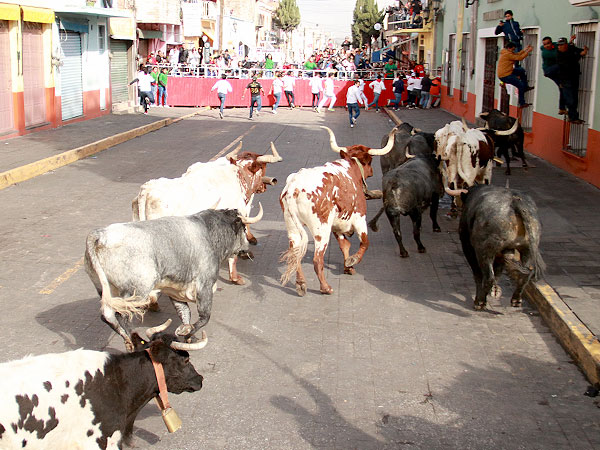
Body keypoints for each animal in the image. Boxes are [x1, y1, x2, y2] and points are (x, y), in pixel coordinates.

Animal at [84, 206, 260, 350]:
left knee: (107, 315)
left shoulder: (174, 291)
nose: (247, 249)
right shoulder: (205, 285)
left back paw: (128, 341)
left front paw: (189, 336)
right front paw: (188, 332)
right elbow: (205, 316)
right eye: (243, 228)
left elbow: (185, 313)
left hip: (106, 289)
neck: (208, 232)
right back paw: (136, 341)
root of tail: (101, 236)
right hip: (137, 290)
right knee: (122, 315)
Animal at [280, 125, 398, 298]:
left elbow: (345, 245)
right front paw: (352, 261)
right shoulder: (359, 219)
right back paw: (325, 287)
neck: (351, 166)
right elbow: (365, 242)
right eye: (370, 161)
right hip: (321, 230)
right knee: (317, 260)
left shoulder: (337, 225)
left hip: (293, 228)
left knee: (296, 255)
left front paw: (348, 267)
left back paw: (301, 284)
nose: (371, 171)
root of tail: (293, 189)